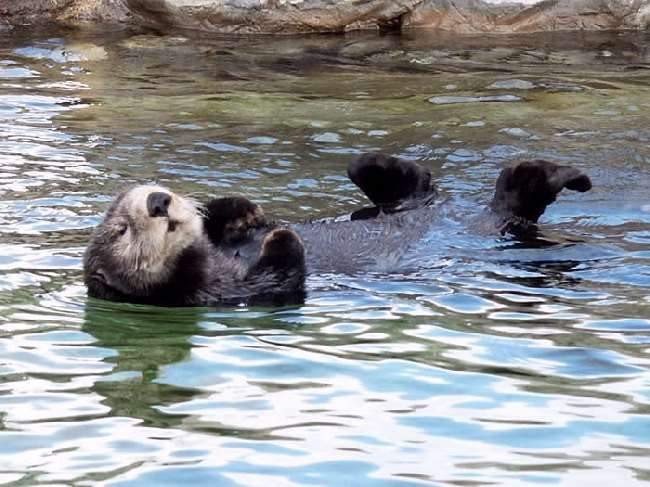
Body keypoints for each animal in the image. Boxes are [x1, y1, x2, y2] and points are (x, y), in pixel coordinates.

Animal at [83, 154, 588, 306]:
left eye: (145, 190)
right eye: (123, 230)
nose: (157, 200)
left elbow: (234, 219)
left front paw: (240, 213)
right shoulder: (220, 294)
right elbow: (284, 276)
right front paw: (280, 237)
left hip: (410, 200)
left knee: (414, 184)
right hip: (508, 225)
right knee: (518, 204)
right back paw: (554, 179)